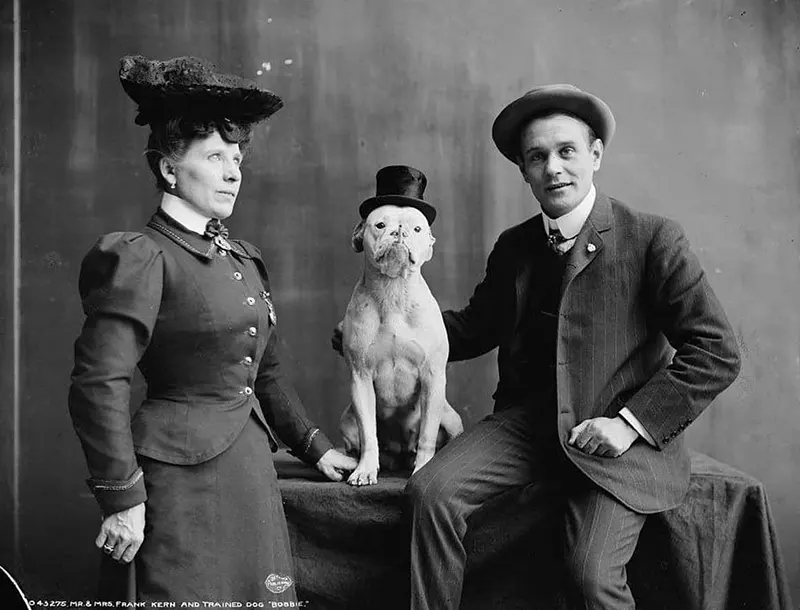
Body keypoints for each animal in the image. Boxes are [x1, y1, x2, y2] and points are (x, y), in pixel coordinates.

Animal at [340, 204, 462, 484]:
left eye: (417, 228)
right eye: (380, 225)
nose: (399, 232)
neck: (393, 288)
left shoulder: (432, 378)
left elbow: (427, 434)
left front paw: (424, 468)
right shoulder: (360, 376)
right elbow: (368, 434)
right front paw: (365, 470)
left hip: (451, 418)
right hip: (347, 421)